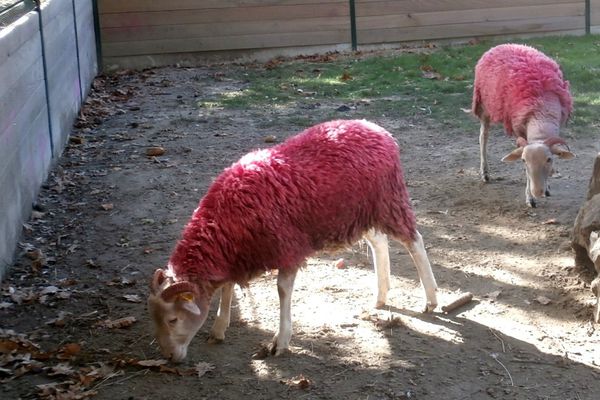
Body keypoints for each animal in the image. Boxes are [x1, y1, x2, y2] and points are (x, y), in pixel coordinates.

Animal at [148, 119, 438, 362]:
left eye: (173, 320)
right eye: (156, 319)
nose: (168, 357)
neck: (222, 220)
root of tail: (377, 129)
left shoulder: (287, 247)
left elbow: (282, 291)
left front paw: (281, 340)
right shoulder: (234, 254)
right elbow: (227, 287)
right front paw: (219, 328)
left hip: (389, 200)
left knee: (415, 242)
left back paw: (431, 300)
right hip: (358, 212)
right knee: (378, 242)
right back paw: (380, 296)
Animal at [472, 43, 576, 206]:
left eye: (549, 159)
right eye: (523, 161)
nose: (537, 192)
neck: (541, 114)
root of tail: (503, 45)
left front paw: (547, 187)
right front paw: (530, 198)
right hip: (484, 104)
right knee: (483, 137)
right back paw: (485, 173)